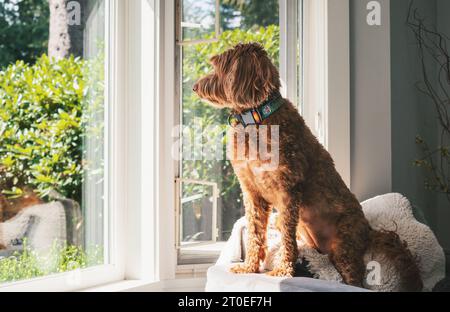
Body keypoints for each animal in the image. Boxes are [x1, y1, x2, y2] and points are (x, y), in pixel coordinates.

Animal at [192, 42, 422, 292]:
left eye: (217, 67)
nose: (194, 87)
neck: (258, 120)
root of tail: (368, 231)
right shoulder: (252, 193)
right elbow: (254, 232)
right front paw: (249, 267)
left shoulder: (289, 189)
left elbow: (286, 237)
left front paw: (283, 271)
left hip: (344, 245)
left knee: (355, 280)